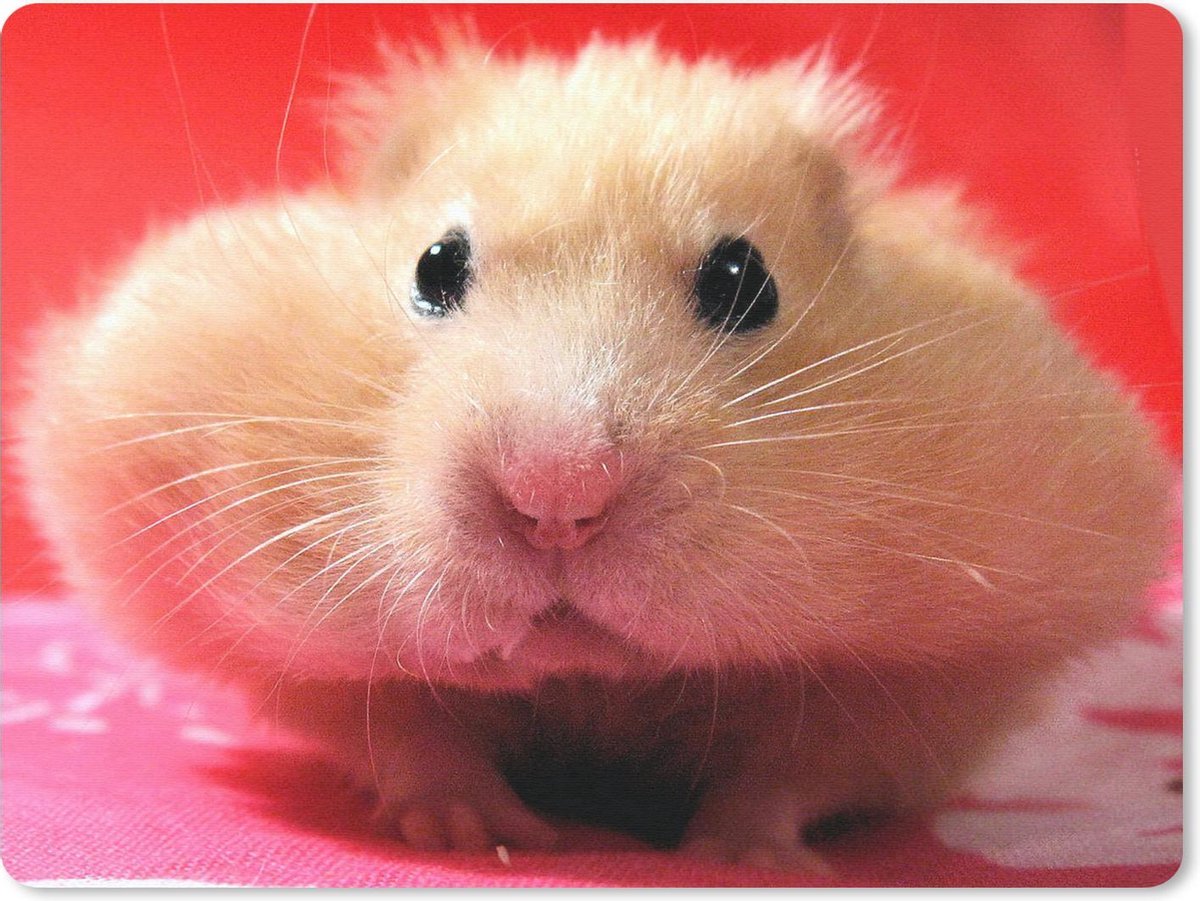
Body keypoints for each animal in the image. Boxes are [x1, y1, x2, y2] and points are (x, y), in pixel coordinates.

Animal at [16, 38, 1173, 869]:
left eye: (745, 280)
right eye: (435, 267)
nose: (556, 501)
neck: (594, 684)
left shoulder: (932, 671)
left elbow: (796, 769)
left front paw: (736, 858)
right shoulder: (297, 653)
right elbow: (402, 727)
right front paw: (483, 834)